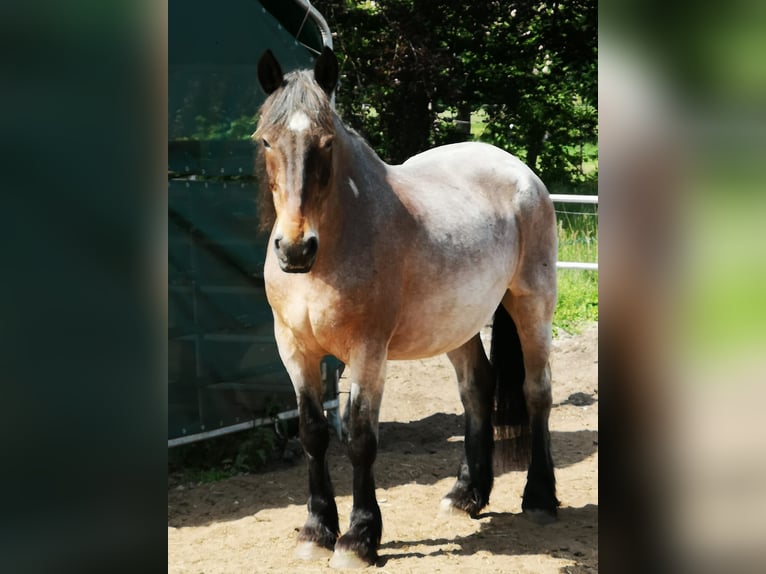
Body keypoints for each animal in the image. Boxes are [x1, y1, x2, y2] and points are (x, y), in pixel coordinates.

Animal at [255, 47, 560, 568]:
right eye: (267, 141)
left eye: (326, 143)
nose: (295, 249)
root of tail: (518, 171)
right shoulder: (293, 350)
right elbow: (313, 433)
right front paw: (316, 531)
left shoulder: (368, 351)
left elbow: (360, 437)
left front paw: (358, 539)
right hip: (456, 324)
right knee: (477, 388)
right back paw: (465, 495)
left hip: (532, 304)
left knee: (536, 390)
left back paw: (539, 497)